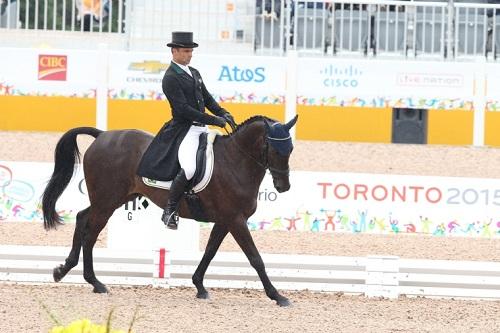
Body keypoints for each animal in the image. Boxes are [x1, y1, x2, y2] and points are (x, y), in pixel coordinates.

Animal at [42, 115, 296, 306]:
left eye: (290, 149)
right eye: (274, 149)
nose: (284, 187)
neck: (235, 162)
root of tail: (102, 135)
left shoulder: (225, 220)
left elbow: (210, 252)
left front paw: (199, 286)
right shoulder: (236, 220)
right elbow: (255, 258)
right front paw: (278, 296)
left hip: (112, 199)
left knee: (81, 218)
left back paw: (64, 270)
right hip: (106, 202)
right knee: (90, 234)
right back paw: (95, 282)